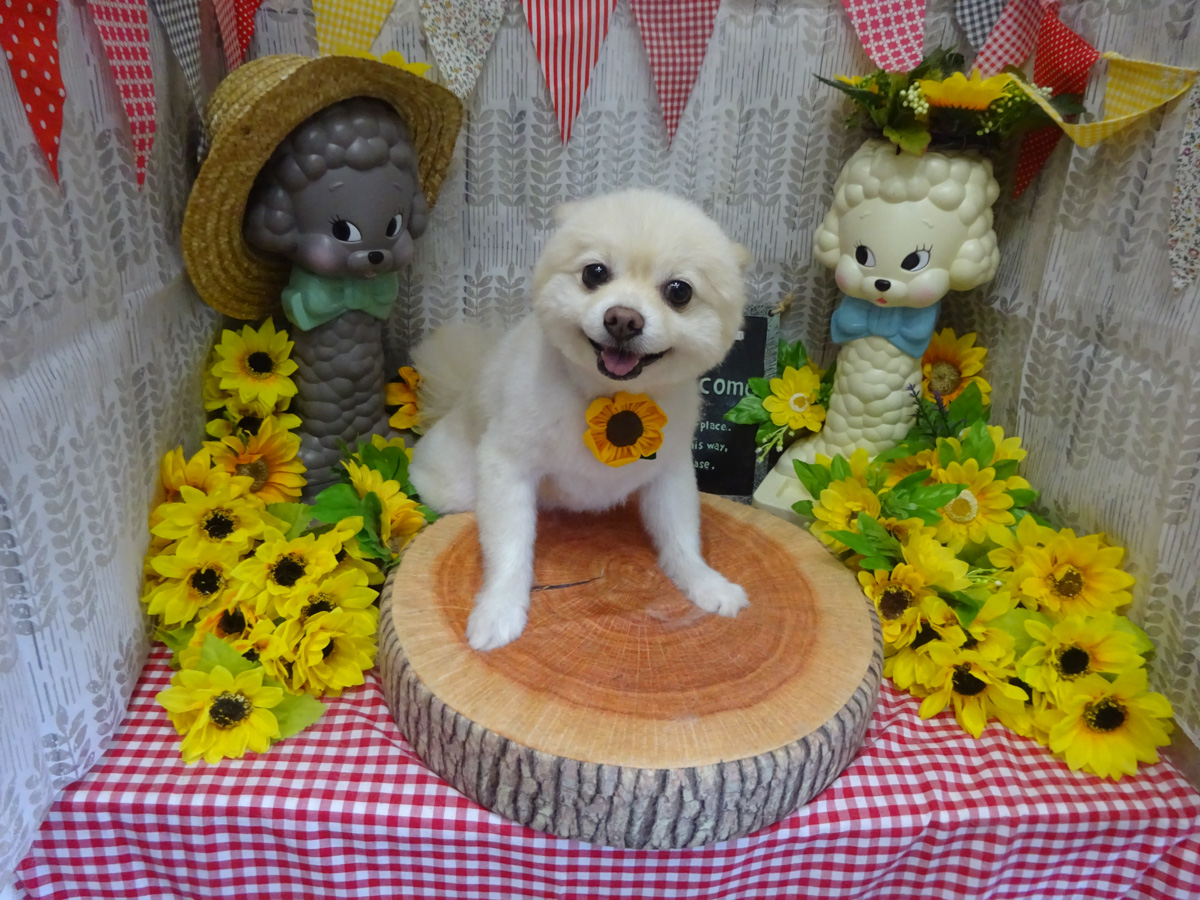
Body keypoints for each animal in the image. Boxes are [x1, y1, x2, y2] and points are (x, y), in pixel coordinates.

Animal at [409, 188, 751, 650]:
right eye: (595, 273)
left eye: (679, 291)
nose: (623, 318)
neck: (608, 397)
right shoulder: (506, 467)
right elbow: (509, 547)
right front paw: (498, 611)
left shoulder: (670, 472)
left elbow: (681, 536)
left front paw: (706, 584)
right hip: (456, 488)